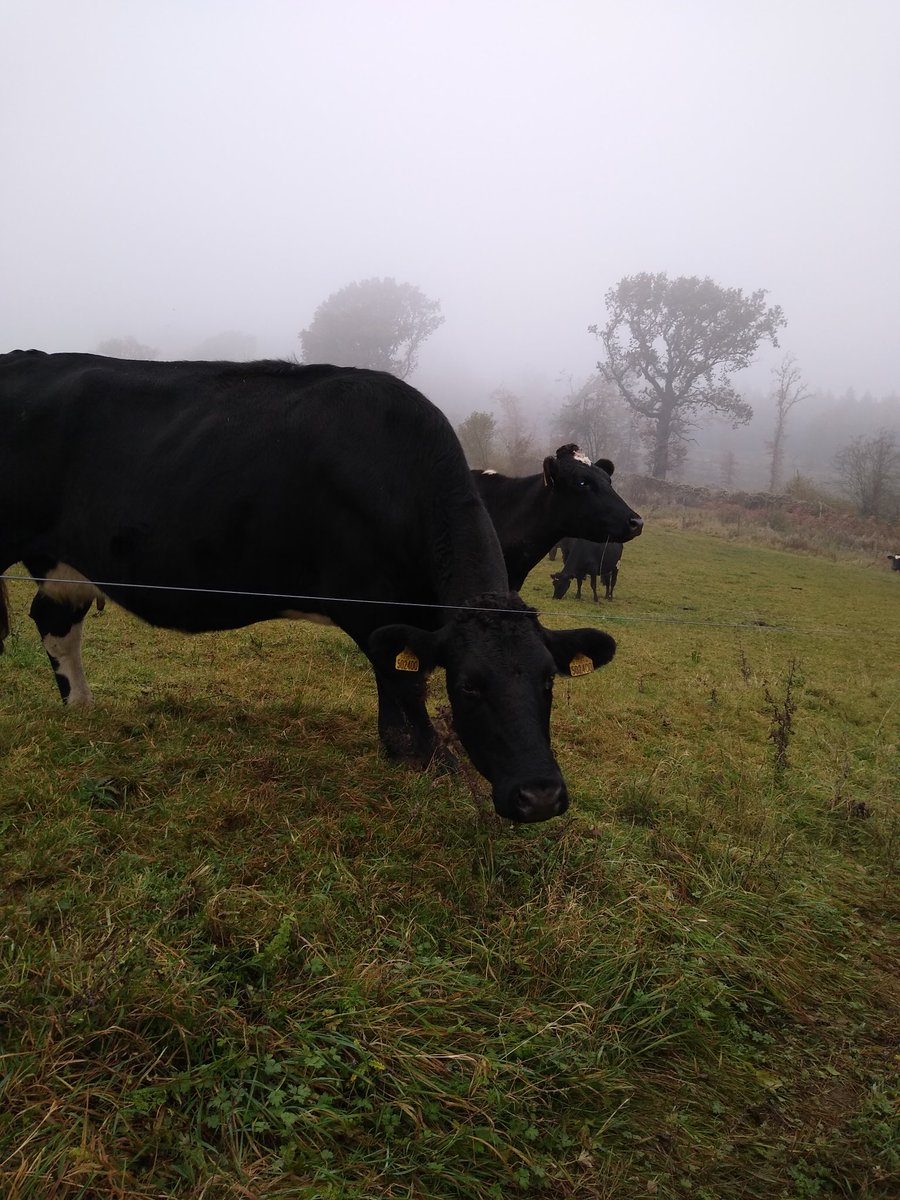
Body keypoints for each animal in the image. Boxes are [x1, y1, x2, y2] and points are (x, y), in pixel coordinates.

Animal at [0, 350, 619, 825]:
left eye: (548, 680)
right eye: (469, 686)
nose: (540, 795)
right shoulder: (374, 608)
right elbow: (405, 693)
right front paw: (427, 761)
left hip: (61, 562)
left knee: (55, 623)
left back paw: (81, 711)